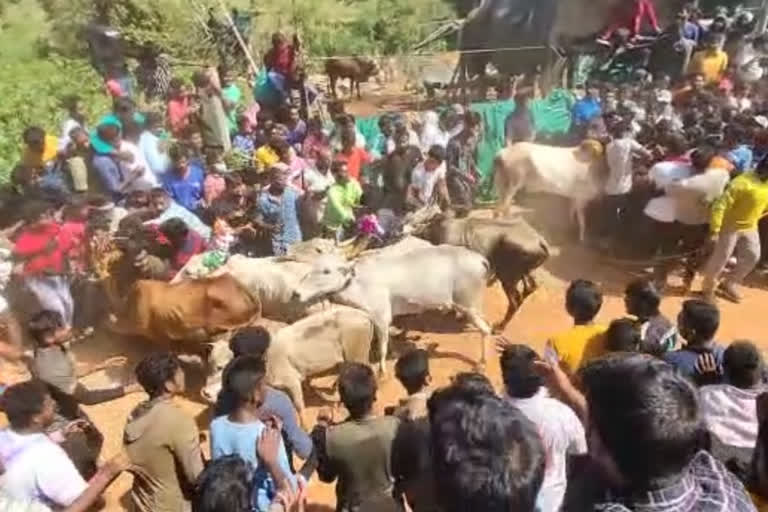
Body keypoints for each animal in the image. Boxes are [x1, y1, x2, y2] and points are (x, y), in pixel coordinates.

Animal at [292, 244, 488, 372]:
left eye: (326, 271)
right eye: (313, 267)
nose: (296, 293)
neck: (358, 282)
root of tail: (480, 259)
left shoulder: (380, 316)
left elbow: (382, 346)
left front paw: (382, 370)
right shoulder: (384, 319)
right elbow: (388, 341)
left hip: (467, 305)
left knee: (485, 329)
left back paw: (482, 362)